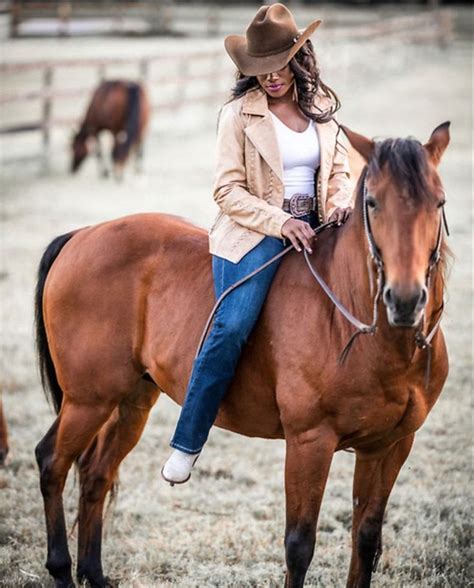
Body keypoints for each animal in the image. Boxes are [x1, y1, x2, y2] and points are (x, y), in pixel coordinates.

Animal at [35, 120, 450, 588]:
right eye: (373, 203)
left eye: (438, 202)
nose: (405, 299)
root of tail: (82, 235)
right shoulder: (310, 442)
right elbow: (299, 546)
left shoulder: (390, 446)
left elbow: (366, 539)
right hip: (87, 401)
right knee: (52, 463)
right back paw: (61, 569)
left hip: (131, 401)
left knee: (95, 473)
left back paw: (94, 573)